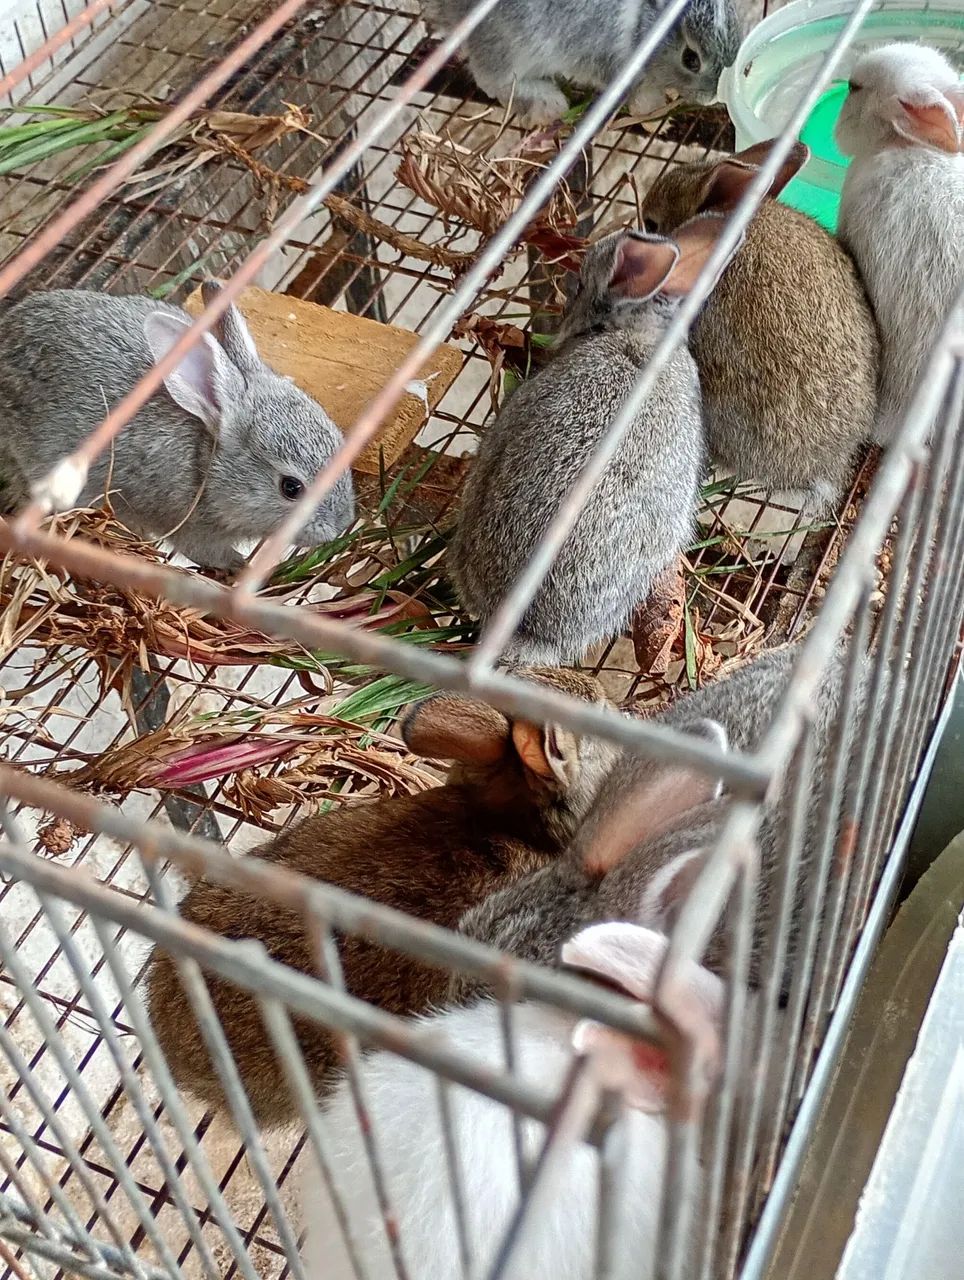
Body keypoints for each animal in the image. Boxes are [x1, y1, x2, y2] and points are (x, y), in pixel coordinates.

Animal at [0, 281, 355, 570]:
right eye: (291, 488)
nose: (341, 524)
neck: (205, 461)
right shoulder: (191, 527)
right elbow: (206, 552)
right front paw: (239, 567)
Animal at [422, 0, 742, 127]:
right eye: (691, 59)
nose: (712, 96)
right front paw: (649, 110)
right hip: (510, 45)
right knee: (493, 79)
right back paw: (549, 103)